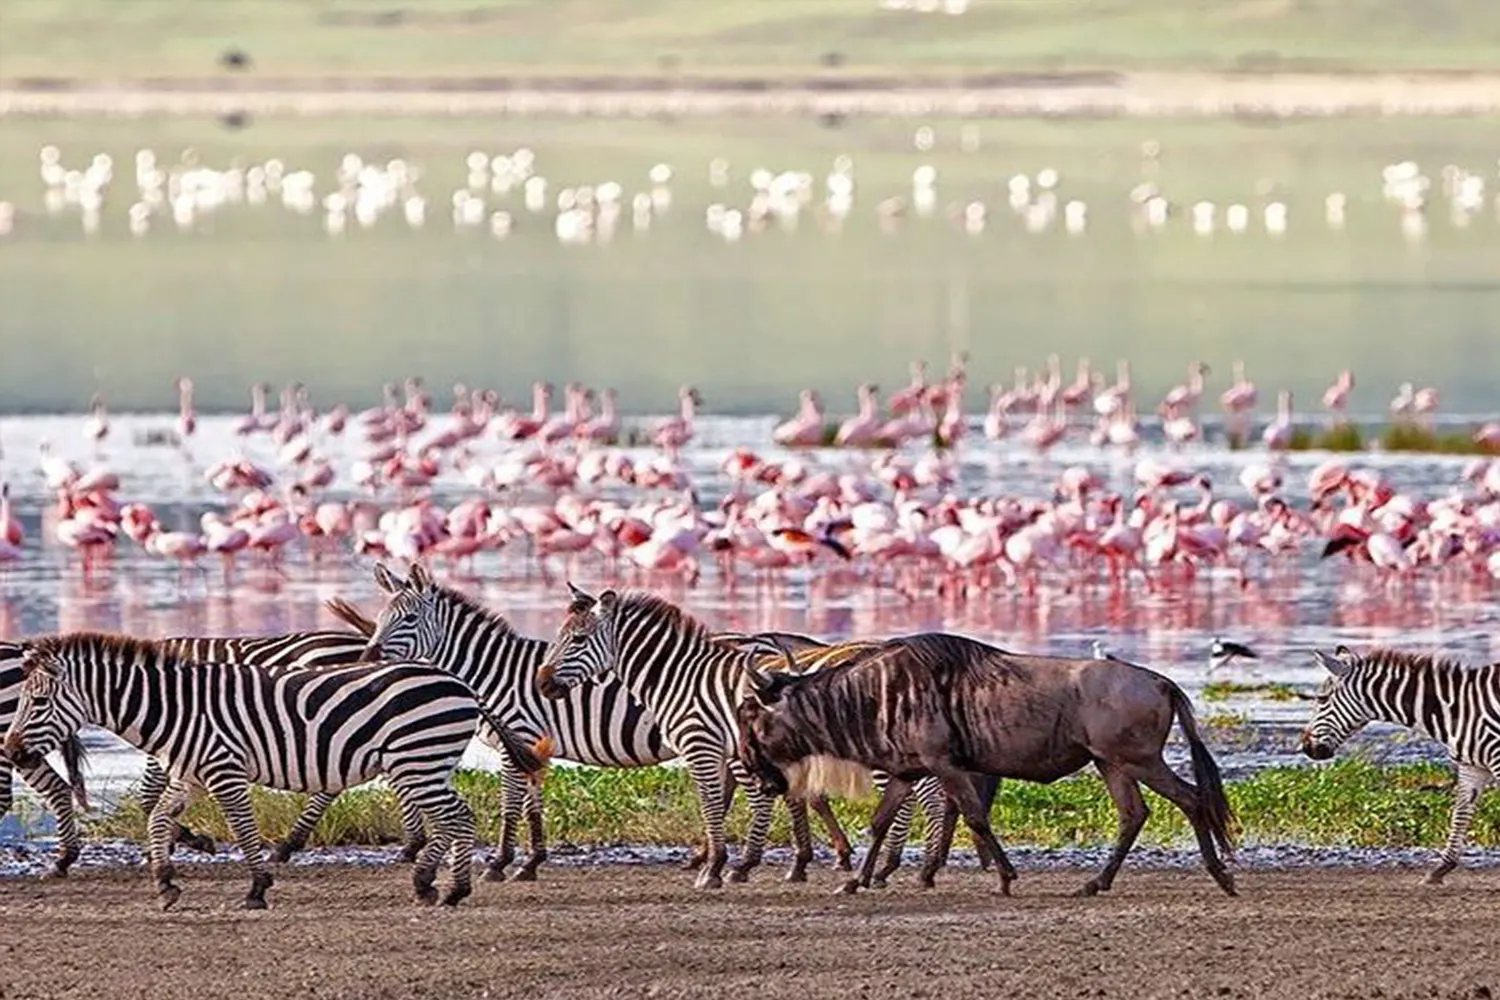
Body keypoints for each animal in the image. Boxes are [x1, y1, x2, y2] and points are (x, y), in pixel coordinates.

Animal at [2, 638, 549, 911]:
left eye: (40, 702)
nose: (9, 749)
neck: (179, 708)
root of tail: (458, 681)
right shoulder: (189, 774)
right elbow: (158, 820)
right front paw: (165, 882)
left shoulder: (224, 770)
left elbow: (244, 831)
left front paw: (257, 888)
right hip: (422, 763)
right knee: (452, 819)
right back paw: (430, 883)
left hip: (418, 760)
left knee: (458, 818)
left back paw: (451, 888)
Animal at [336, 563, 864, 881]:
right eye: (380, 616)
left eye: (406, 619)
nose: (366, 657)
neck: (494, 671)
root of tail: (772, 641)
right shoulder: (535, 744)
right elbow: (533, 804)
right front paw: (532, 862)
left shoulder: (516, 735)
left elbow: (509, 805)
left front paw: (501, 863)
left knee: (771, 792)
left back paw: (774, 862)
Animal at [540, 587, 972, 893]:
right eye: (562, 637)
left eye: (578, 640)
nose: (543, 684)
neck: (681, 678)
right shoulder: (726, 751)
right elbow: (738, 801)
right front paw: (730, 863)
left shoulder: (701, 746)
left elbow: (713, 803)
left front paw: (717, 868)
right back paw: (910, 868)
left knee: (921, 797)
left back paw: (906, 870)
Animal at [1302, 641, 1500, 881]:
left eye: (1322, 699)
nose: (1306, 748)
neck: (1457, 709)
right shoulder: (1472, 766)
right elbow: (1460, 813)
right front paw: (1440, 869)